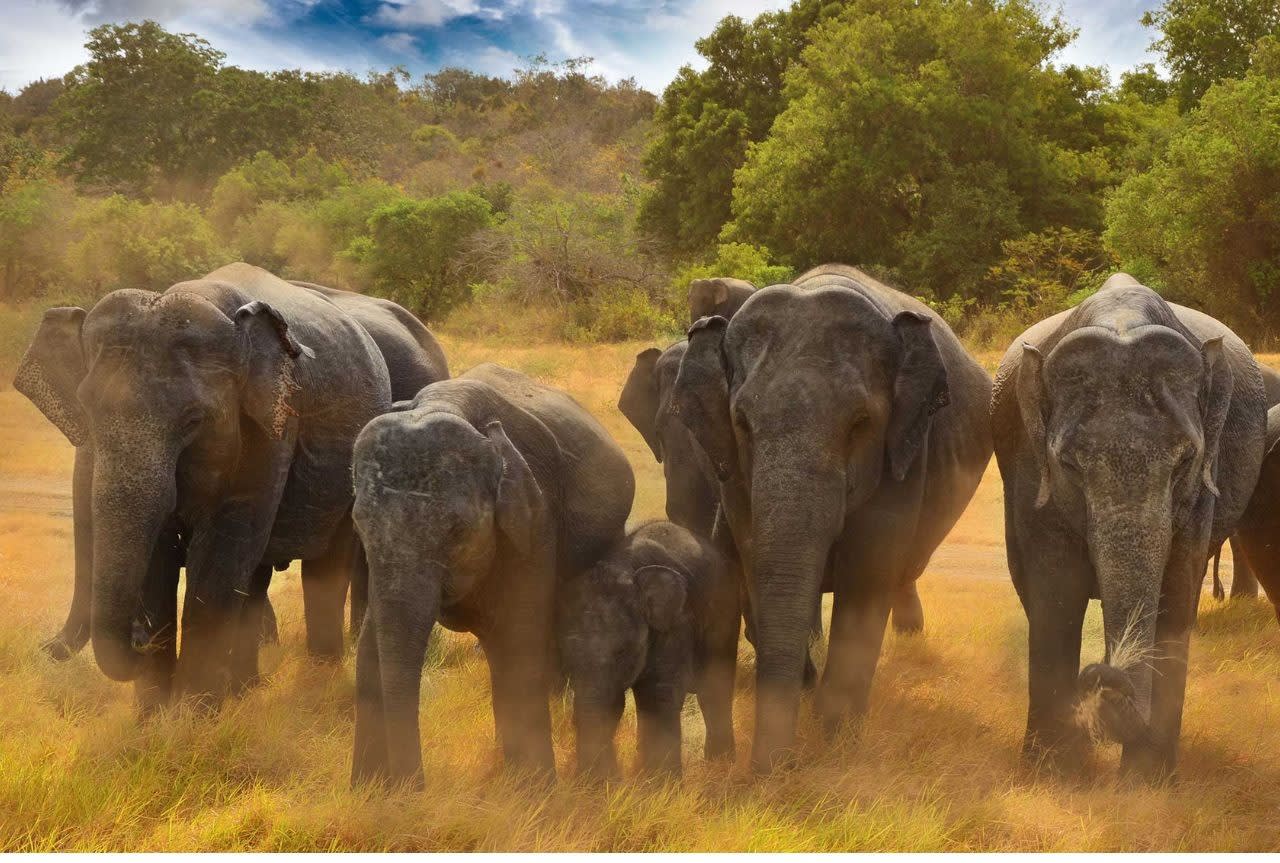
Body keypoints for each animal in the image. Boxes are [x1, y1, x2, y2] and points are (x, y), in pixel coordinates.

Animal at [15, 262, 447, 708]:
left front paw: (192, 714)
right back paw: (247, 688)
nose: (140, 639)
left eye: (193, 420)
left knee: (327, 562)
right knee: (258, 574)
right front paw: (155, 716)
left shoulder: (272, 422)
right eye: (85, 410)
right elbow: (160, 554)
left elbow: (223, 548)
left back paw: (319, 680)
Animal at [350, 363, 635, 788]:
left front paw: (533, 791)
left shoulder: (535, 522)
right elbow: (370, 650)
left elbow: (518, 645)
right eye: (361, 524)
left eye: (457, 531)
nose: (417, 791)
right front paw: (369, 791)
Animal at [557, 520, 740, 778]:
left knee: (714, 689)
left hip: (726, 610)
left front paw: (660, 784)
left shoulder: (677, 623)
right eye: (567, 657)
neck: (622, 565)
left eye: (622, 653)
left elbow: (657, 694)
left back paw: (721, 765)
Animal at [671, 264, 994, 772]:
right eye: (742, 423)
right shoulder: (736, 476)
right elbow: (754, 555)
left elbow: (868, 571)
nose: (774, 769)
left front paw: (837, 736)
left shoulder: (903, 454)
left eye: (860, 424)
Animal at [991, 273, 1266, 780]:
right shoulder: (1028, 466)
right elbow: (1056, 590)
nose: (1102, 675)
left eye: (1184, 462)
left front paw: (1146, 783)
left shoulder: (1203, 484)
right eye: (1069, 465)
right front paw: (1054, 774)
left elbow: (1176, 593)